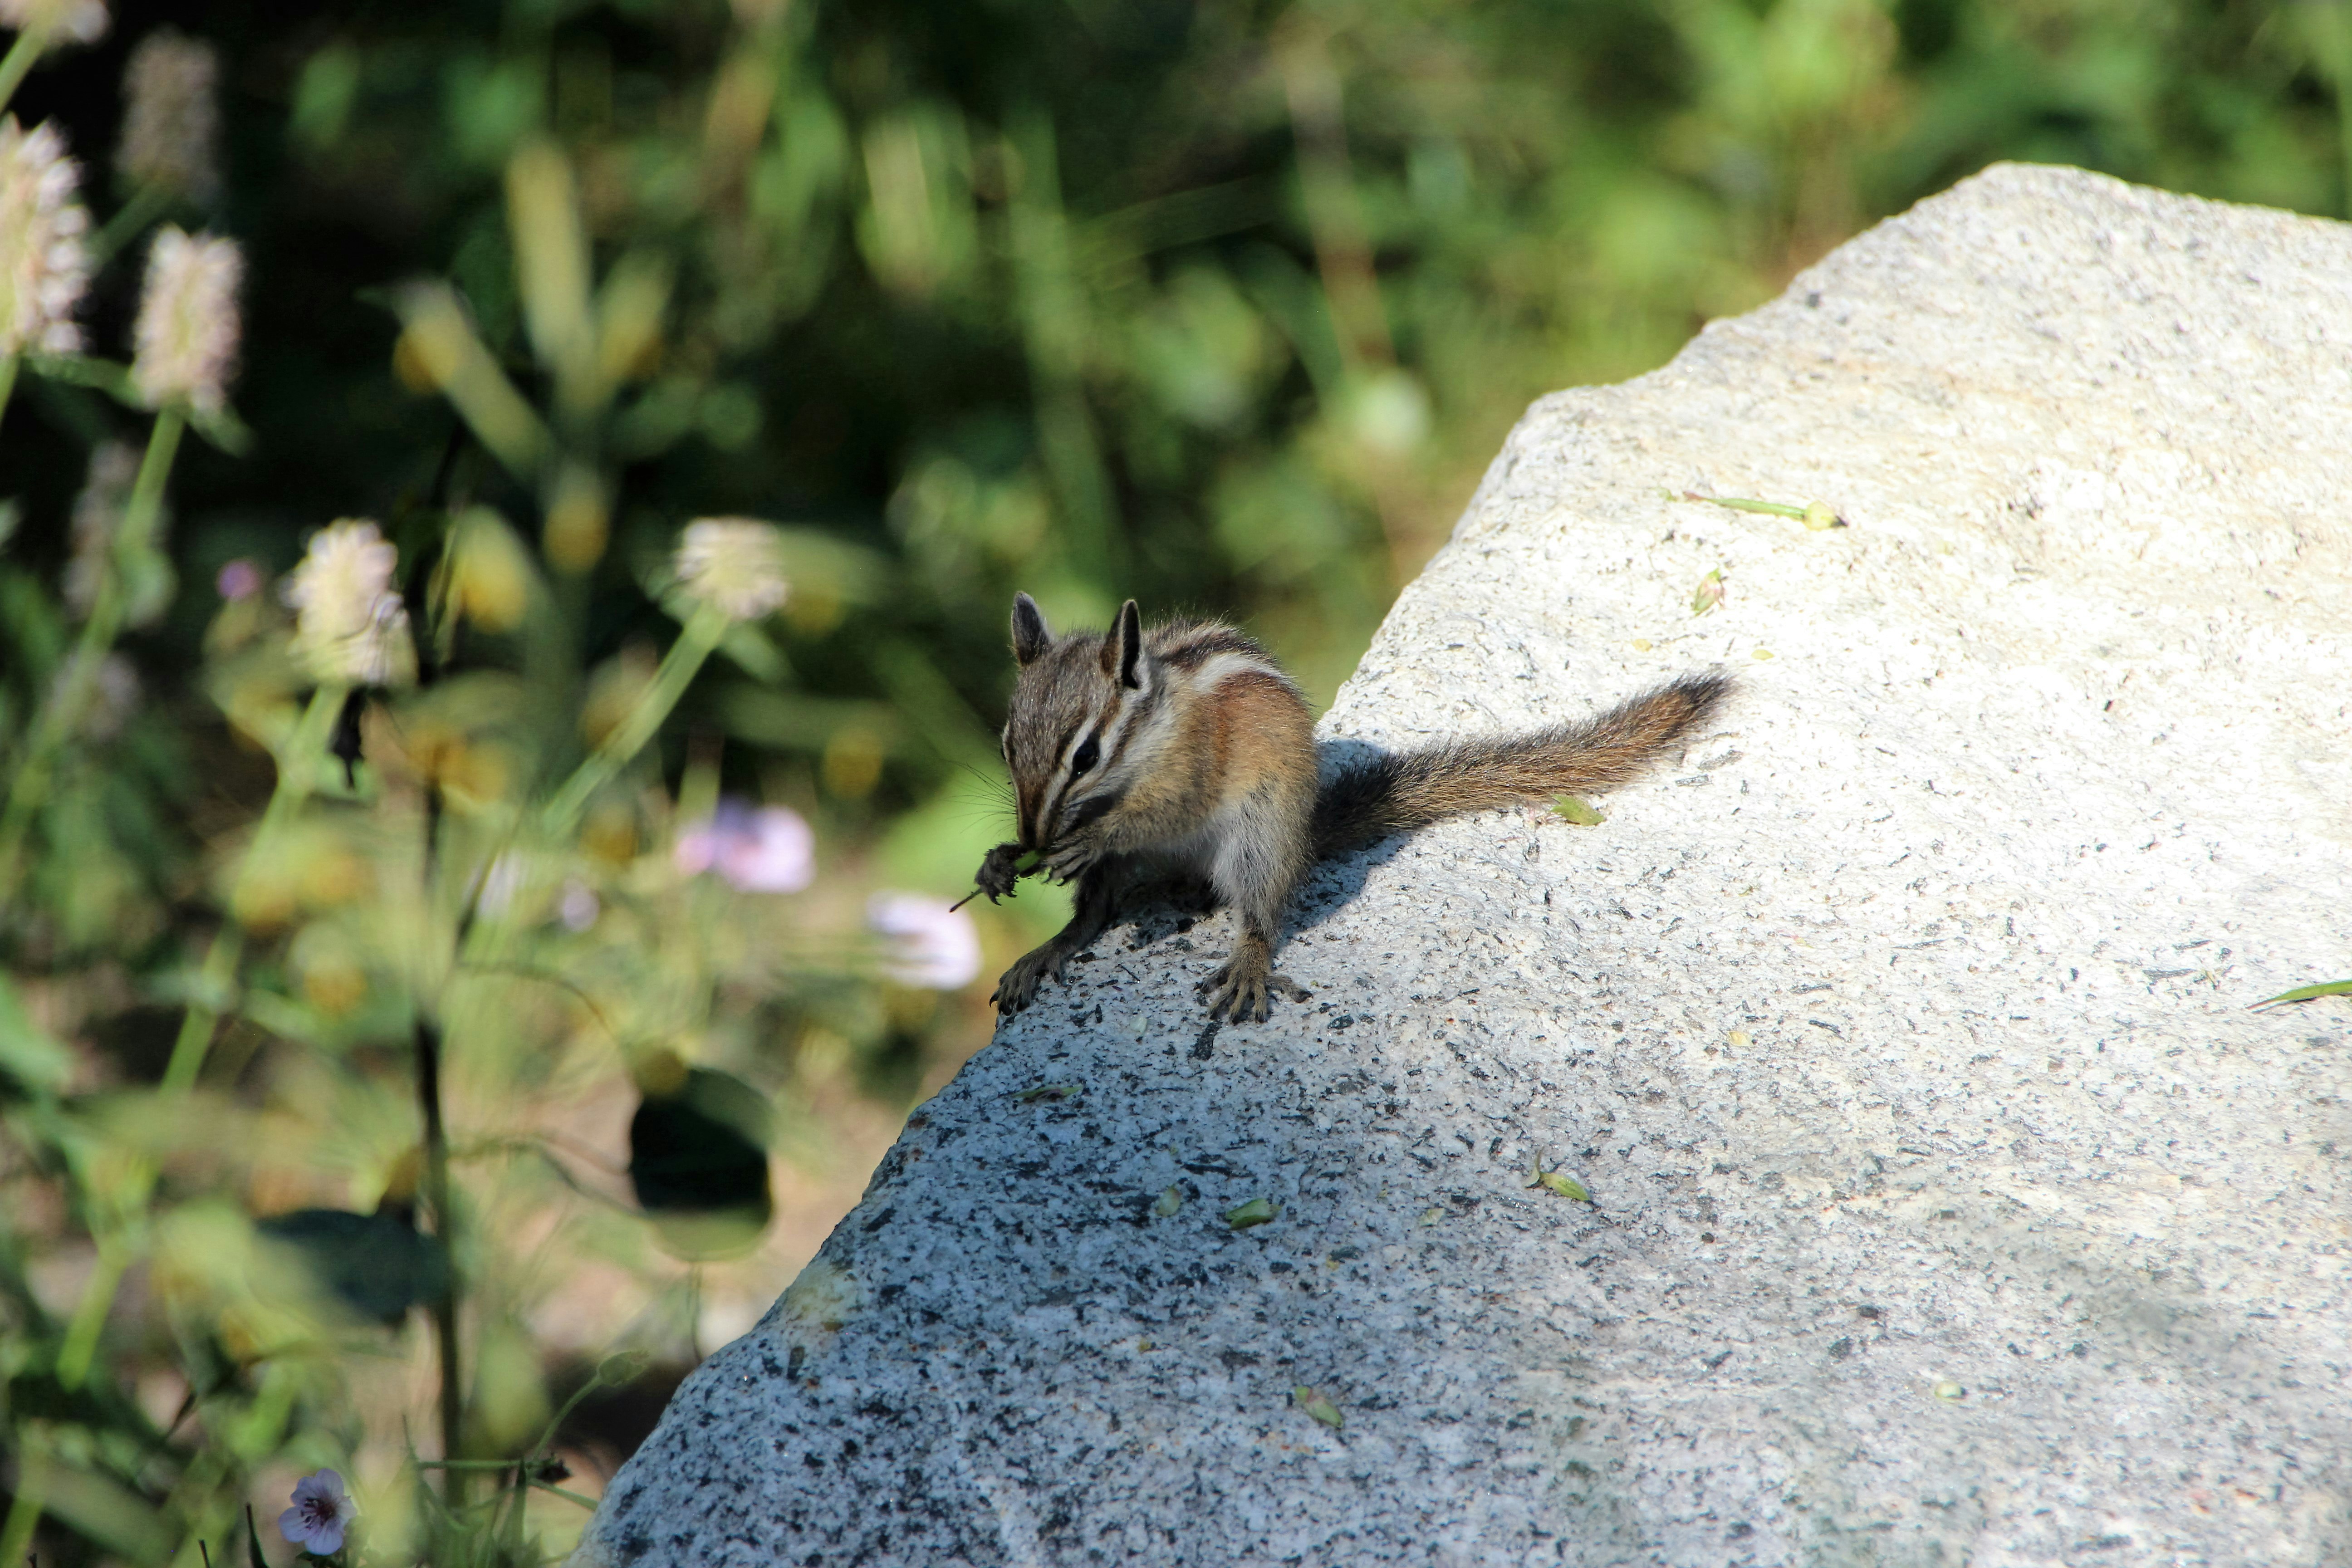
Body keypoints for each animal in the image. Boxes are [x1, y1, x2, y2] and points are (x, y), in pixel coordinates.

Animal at [973, 592, 1731, 1023]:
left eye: (1085, 757)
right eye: (1007, 742)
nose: (1033, 834)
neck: (1150, 731)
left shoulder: (1193, 769)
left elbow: (1156, 814)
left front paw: (1090, 838)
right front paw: (1000, 861)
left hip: (1261, 834)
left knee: (1258, 912)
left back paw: (1248, 964)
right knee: (1091, 918)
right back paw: (1043, 952)